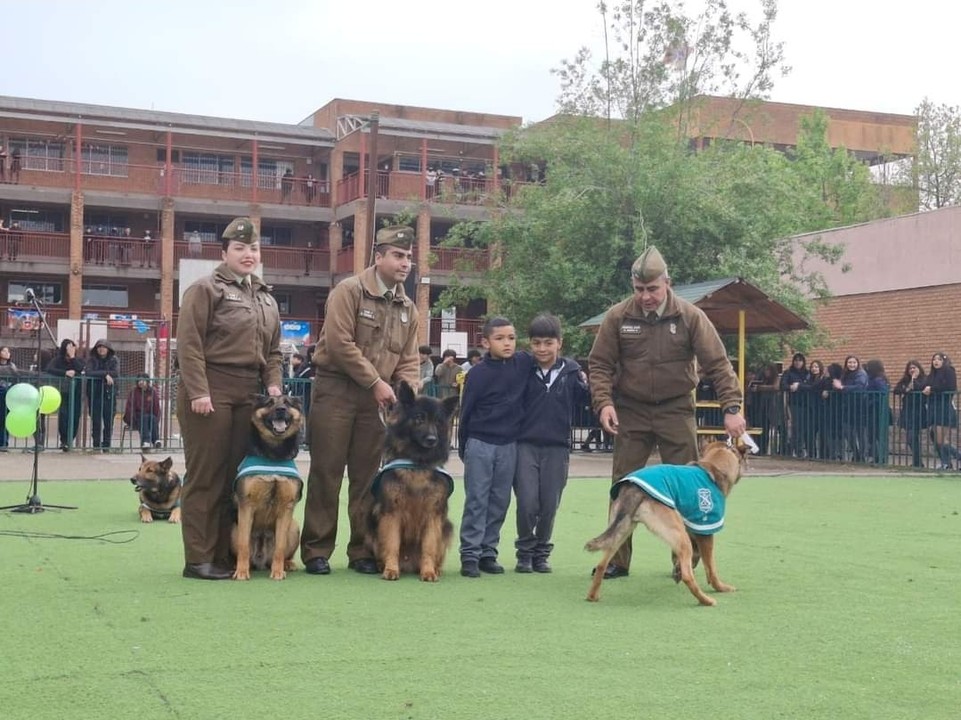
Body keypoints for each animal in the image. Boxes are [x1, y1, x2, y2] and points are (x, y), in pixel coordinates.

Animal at [230, 394, 304, 581]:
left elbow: (280, 547)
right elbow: (243, 546)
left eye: (287, 403)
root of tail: (261, 559)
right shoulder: (246, 506)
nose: (281, 410)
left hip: (293, 526)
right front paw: (241, 571)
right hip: (234, 528)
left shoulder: (286, 508)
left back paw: (287, 564)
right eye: (270, 402)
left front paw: (277, 571)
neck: (273, 455)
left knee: (284, 552)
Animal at [366, 380, 459, 581]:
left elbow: (429, 547)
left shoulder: (433, 515)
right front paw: (391, 569)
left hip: (446, 526)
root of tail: (409, 563)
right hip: (372, 523)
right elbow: (392, 543)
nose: (432, 439)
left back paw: (436, 568)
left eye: (438, 421)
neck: (417, 463)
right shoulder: (391, 513)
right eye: (419, 418)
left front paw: (429, 571)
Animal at [585, 440, 749, 606]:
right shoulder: (705, 531)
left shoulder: (693, 529)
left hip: (621, 531)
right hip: (679, 536)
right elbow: (711, 566)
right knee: (688, 576)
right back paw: (706, 600)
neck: (714, 465)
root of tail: (633, 488)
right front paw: (720, 587)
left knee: (601, 565)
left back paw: (593, 596)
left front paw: (678, 570)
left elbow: (695, 556)